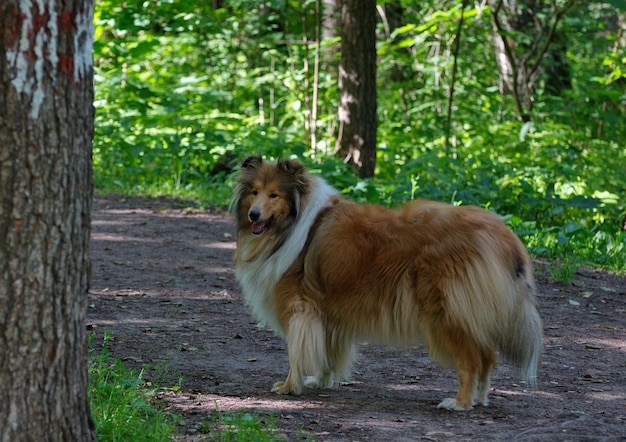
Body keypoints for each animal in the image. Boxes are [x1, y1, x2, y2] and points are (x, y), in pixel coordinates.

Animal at [230, 155, 540, 410]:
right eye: (254, 192)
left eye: (274, 194)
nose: (253, 215)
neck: (290, 226)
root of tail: (502, 233)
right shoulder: (325, 311)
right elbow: (326, 352)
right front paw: (321, 381)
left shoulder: (300, 309)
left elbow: (297, 352)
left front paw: (288, 386)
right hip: (469, 313)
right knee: (487, 357)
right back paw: (479, 399)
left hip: (446, 313)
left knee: (472, 360)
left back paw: (460, 403)